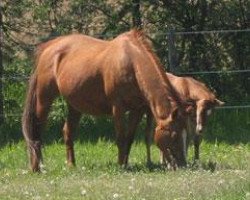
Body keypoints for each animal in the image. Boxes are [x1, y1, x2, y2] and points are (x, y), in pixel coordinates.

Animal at [22, 30, 188, 172]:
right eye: (174, 135)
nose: (182, 165)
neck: (132, 63)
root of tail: (50, 47)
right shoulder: (118, 108)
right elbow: (120, 137)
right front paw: (121, 166)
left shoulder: (137, 110)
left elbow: (129, 138)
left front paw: (126, 163)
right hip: (44, 99)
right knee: (36, 130)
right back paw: (36, 167)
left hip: (75, 106)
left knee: (67, 131)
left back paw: (71, 165)